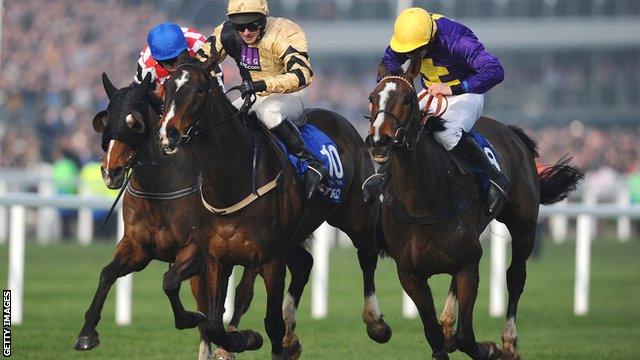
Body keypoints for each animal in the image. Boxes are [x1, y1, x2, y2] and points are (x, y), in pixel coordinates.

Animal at [74, 72, 256, 358]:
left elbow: (170, 283)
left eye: (134, 123)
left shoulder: (195, 251)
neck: (160, 189)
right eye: (105, 121)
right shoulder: (138, 248)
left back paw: (231, 343)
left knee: (243, 293)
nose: (111, 172)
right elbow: (106, 273)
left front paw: (192, 318)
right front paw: (87, 333)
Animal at [158, 60, 392, 358]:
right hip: (293, 235)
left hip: (355, 216)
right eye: (167, 87)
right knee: (305, 264)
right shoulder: (215, 255)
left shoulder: (269, 259)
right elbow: (210, 319)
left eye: (199, 89)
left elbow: (271, 323)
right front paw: (240, 338)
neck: (233, 181)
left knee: (367, 255)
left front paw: (250, 338)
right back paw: (292, 338)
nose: (169, 133)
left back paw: (375, 323)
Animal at [364, 57, 584, 360]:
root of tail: (511, 132)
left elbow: (467, 337)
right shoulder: (410, 273)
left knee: (515, 276)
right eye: (373, 98)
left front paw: (491, 349)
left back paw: (508, 342)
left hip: (524, 225)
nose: (379, 141)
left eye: (408, 99)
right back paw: (449, 325)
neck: (421, 200)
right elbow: (434, 335)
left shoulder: (468, 264)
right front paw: (445, 336)